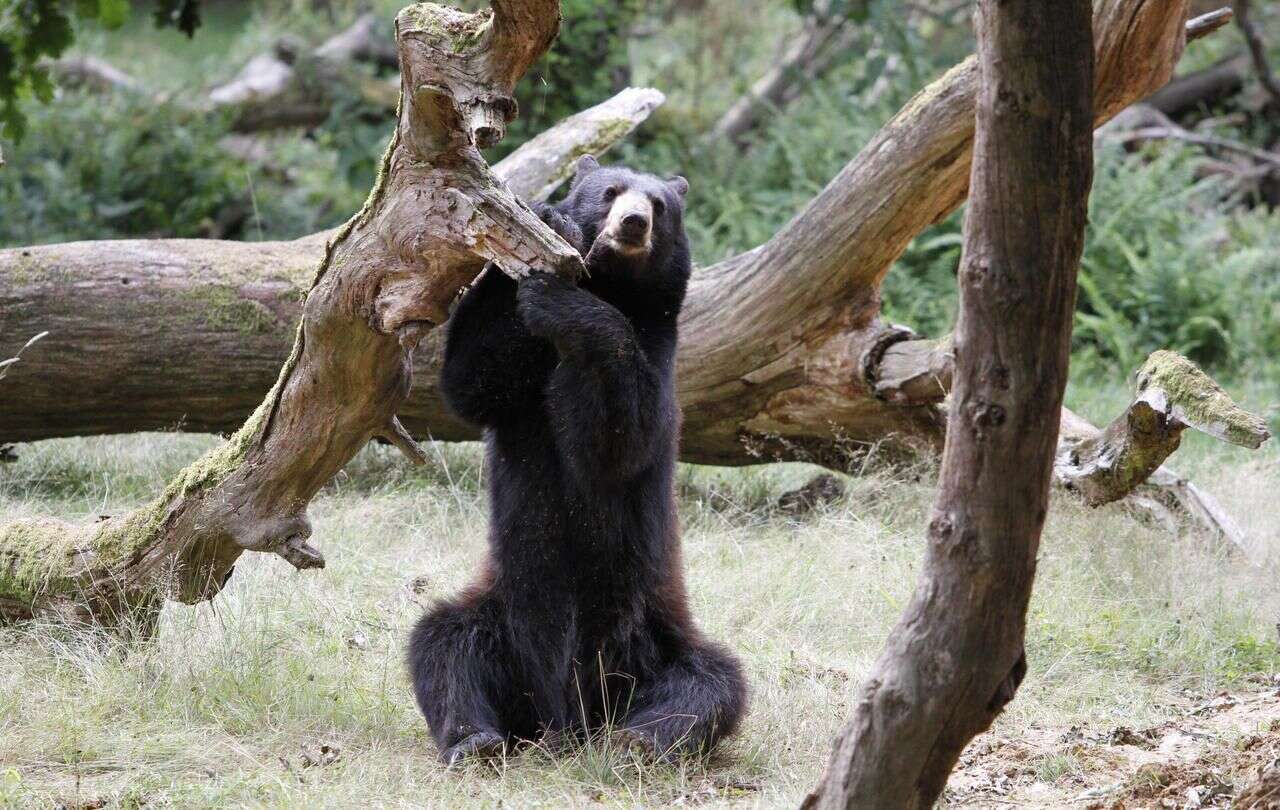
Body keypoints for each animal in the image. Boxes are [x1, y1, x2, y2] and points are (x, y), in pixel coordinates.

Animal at [409, 152, 747, 762]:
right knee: (443, 645)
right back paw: (476, 739)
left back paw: (636, 740)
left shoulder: (660, 366)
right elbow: (473, 379)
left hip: (653, 635)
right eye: (609, 191)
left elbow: (616, 439)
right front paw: (545, 228)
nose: (633, 223)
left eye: (659, 204)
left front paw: (564, 305)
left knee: (708, 685)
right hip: (502, 610)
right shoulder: (515, 393)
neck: (613, 287)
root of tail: (560, 718)